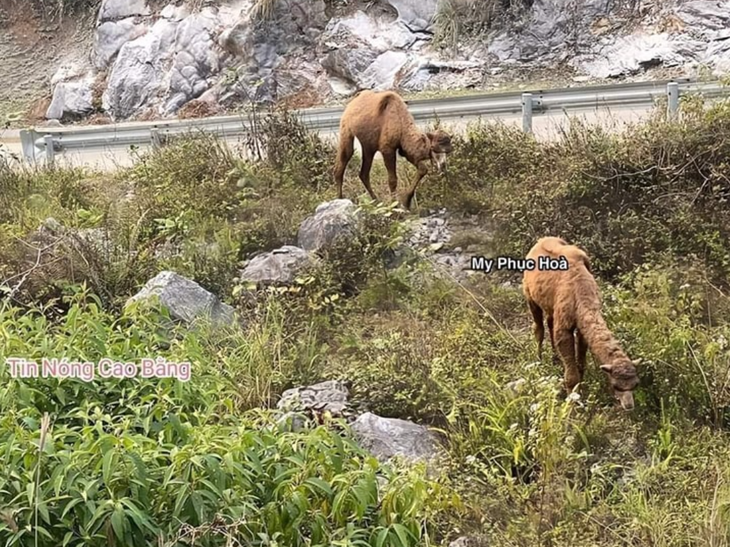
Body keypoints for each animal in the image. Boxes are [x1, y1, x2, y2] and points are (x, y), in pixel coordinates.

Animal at [524, 235, 636, 412]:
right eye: (616, 385)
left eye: (635, 385)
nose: (629, 406)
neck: (581, 295)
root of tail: (538, 242)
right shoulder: (565, 326)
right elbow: (570, 369)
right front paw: (572, 399)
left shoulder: (581, 326)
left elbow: (581, 361)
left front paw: (581, 388)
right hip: (530, 296)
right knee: (539, 328)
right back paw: (539, 359)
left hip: (550, 304)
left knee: (549, 322)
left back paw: (555, 358)